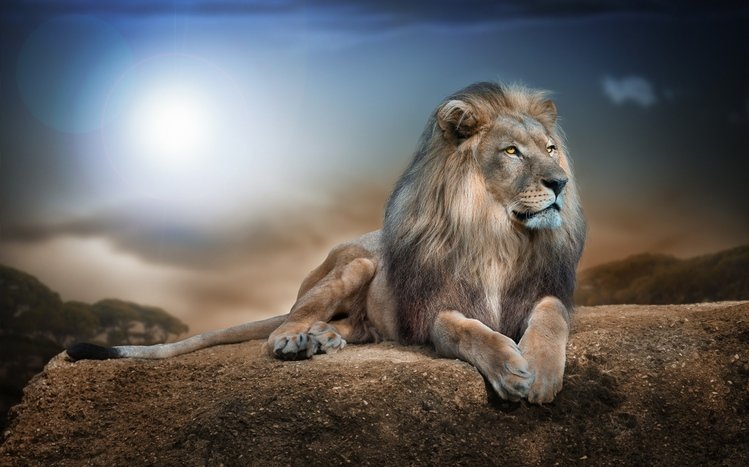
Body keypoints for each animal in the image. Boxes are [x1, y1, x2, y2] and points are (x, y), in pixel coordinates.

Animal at [68, 82, 586, 404]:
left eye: (551, 149)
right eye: (512, 152)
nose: (560, 183)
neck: (499, 235)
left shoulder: (544, 291)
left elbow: (550, 316)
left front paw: (539, 371)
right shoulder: (434, 310)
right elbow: (467, 330)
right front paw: (510, 368)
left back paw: (325, 338)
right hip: (355, 265)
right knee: (286, 322)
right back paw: (298, 340)